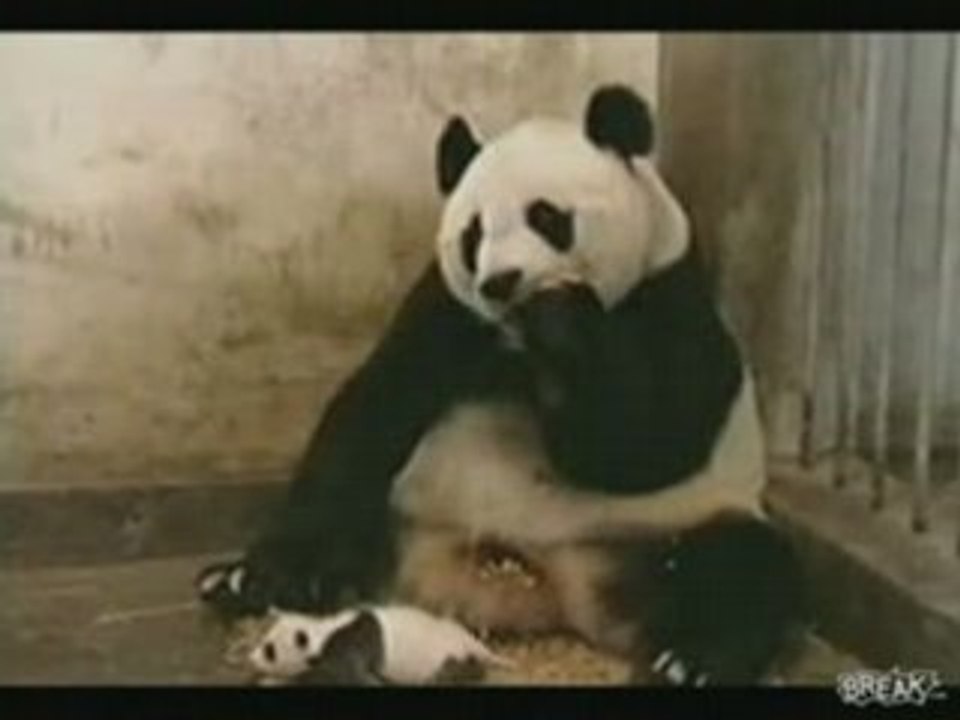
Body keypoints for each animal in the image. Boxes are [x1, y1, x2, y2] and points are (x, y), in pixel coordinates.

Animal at [197, 84, 807, 685]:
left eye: (547, 217)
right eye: (474, 233)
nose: (501, 282)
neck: (517, 346)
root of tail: (541, 590)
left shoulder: (670, 297)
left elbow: (642, 444)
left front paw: (563, 323)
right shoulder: (448, 310)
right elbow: (375, 408)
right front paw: (268, 573)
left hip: (662, 529)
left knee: (742, 566)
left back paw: (693, 659)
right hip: (408, 512)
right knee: (357, 520)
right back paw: (245, 583)